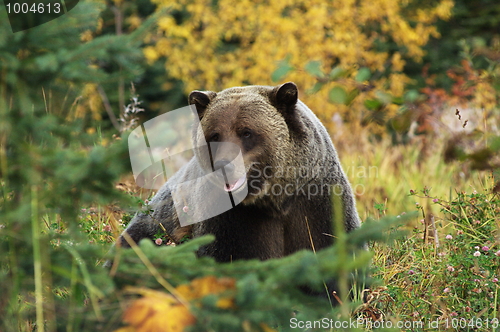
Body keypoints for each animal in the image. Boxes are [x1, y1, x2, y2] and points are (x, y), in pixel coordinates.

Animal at [117, 81, 360, 264]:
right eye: (214, 135)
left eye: (246, 132)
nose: (223, 164)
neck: (274, 201)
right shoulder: (229, 219)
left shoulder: (318, 203)